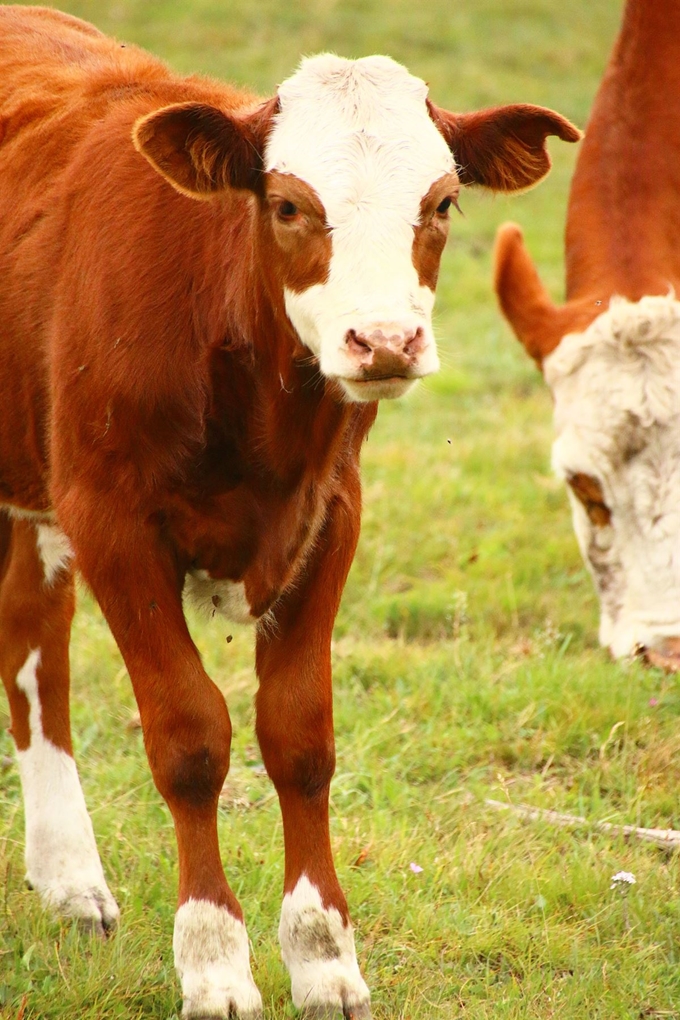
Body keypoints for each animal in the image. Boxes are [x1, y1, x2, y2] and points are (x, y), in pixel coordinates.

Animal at [0, 7, 579, 1020]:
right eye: (287, 205)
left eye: (441, 203)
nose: (384, 340)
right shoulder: (110, 517)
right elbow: (191, 739)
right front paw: (215, 964)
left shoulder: (331, 515)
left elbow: (300, 735)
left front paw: (322, 956)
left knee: (33, 635)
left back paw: (69, 879)